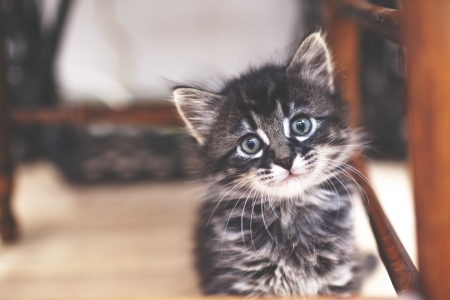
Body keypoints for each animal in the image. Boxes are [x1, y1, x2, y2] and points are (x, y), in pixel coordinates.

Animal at [172, 32, 370, 296]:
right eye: (250, 144)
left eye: (301, 125)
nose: (285, 160)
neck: (290, 212)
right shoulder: (239, 282)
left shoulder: (339, 277)